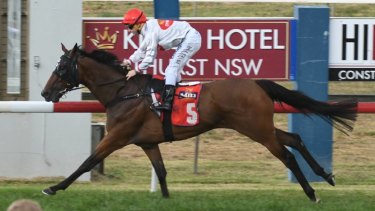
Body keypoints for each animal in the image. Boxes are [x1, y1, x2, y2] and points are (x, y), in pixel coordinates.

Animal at [41, 43, 358, 203]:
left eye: (61, 67)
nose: (45, 93)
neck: (124, 92)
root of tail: (256, 82)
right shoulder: (148, 143)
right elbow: (162, 172)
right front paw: (166, 200)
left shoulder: (117, 137)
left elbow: (87, 162)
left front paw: (54, 188)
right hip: (260, 127)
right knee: (294, 139)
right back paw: (326, 175)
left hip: (256, 129)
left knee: (288, 155)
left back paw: (312, 193)